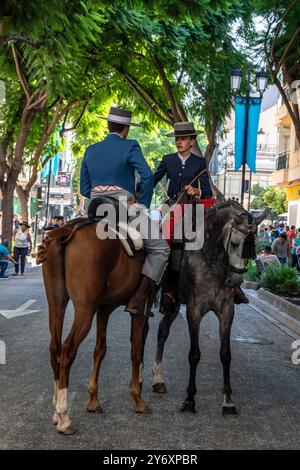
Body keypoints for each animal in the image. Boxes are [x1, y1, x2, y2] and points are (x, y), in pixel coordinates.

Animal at [39, 223, 150, 434]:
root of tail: (66, 230)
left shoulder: (103, 309)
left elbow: (100, 350)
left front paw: (93, 400)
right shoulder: (140, 309)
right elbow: (136, 351)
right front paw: (138, 398)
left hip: (56, 302)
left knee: (54, 347)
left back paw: (56, 409)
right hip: (85, 308)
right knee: (67, 350)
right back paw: (64, 416)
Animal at [152, 200, 268, 414]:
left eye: (254, 245)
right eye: (234, 243)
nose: (235, 280)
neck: (211, 258)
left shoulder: (227, 312)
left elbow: (226, 354)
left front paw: (228, 400)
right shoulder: (194, 311)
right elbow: (194, 354)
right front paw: (190, 399)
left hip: (175, 304)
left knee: (162, 331)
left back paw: (158, 379)